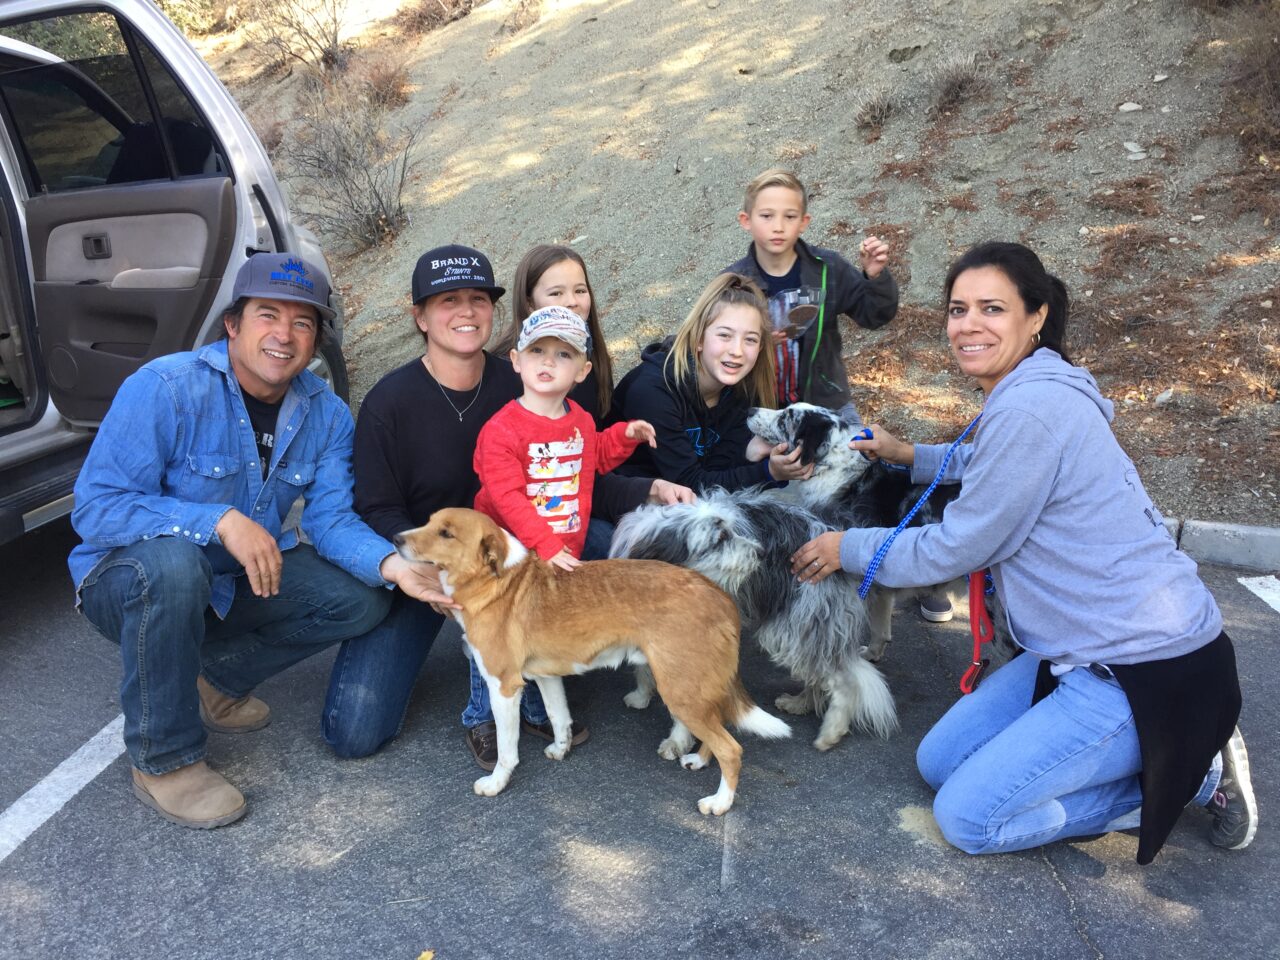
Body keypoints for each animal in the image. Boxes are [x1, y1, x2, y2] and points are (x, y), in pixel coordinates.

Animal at [391, 506, 788, 814]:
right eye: (428, 521)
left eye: (446, 533)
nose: (395, 539)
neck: (496, 580)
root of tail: (719, 595)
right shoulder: (546, 676)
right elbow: (559, 718)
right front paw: (560, 749)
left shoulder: (503, 687)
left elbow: (506, 749)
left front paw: (496, 783)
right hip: (691, 685)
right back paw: (698, 759)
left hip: (681, 691)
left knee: (732, 749)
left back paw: (720, 802)